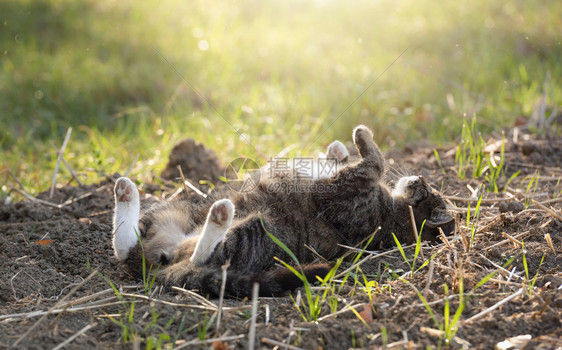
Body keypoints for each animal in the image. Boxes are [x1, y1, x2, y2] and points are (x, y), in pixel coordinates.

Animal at [111, 124, 452, 296]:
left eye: (428, 191)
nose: (419, 179)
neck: (394, 217)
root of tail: (151, 269)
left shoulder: (344, 192)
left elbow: (375, 159)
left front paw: (360, 135)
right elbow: (352, 160)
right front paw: (337, 150)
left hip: (252, 231)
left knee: (200, 255)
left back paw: (220, 216)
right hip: (175, 209)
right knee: (126, 246)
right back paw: (126, 194)